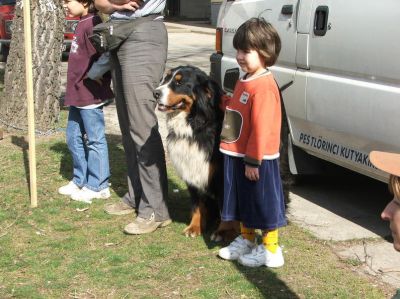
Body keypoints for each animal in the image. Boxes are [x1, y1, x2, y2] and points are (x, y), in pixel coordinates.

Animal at [155, 66, 239, 241]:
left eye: (179, 83)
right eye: (166, 78)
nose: (155, 93)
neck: (195, 126)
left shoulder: (221, 175)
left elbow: (226, 207)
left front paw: (223, 231)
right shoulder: (191, 171)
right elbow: (196, 204)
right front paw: (194, 227)